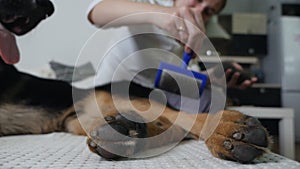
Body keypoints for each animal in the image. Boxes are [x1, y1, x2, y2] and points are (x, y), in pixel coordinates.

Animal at [0, 0, 270, 164]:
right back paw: (126, 131)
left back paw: (222, 127)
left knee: (180, 117)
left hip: (107, 98)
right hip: (80, 119)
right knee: (169, 125)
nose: (48, 8)